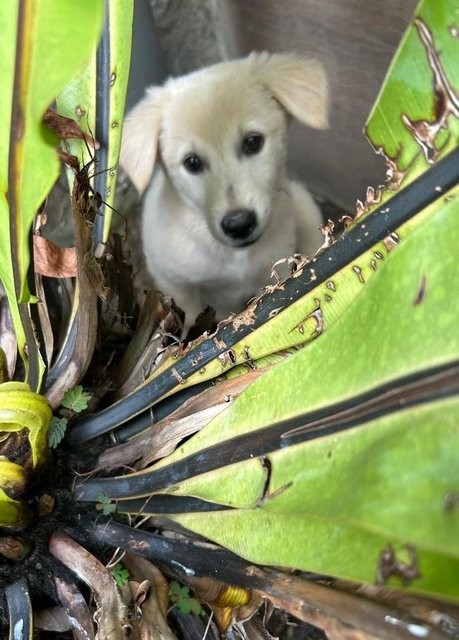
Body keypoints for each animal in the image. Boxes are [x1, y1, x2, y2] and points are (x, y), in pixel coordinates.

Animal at [120, 52, 328, 330]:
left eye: (253, 142)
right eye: (192, 162)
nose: (239, 224)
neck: (233, 257)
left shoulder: (274, 273)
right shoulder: (175, 285)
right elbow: (187, 322)